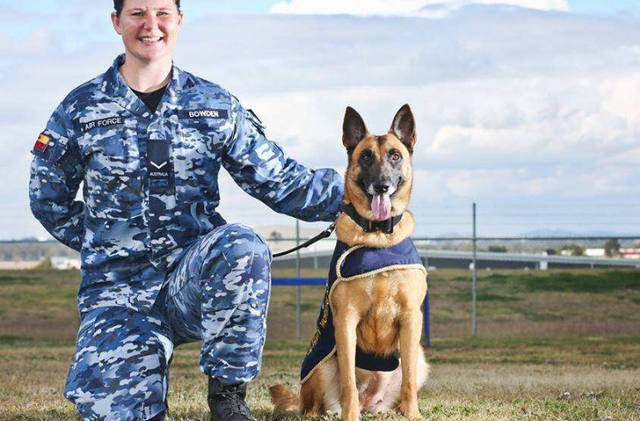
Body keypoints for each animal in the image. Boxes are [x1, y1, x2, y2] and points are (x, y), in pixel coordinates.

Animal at [270, 106, 430, 420]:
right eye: (365, 156)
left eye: (395, 156)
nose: (381, 185)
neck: (377, 237)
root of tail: (372, 402)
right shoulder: (346, 319)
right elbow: (348, 382)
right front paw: (349, 414)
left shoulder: (411, 318)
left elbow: (407, 381)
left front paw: (413, 413)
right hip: (320, 366)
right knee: (314, 403)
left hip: (419, 357)